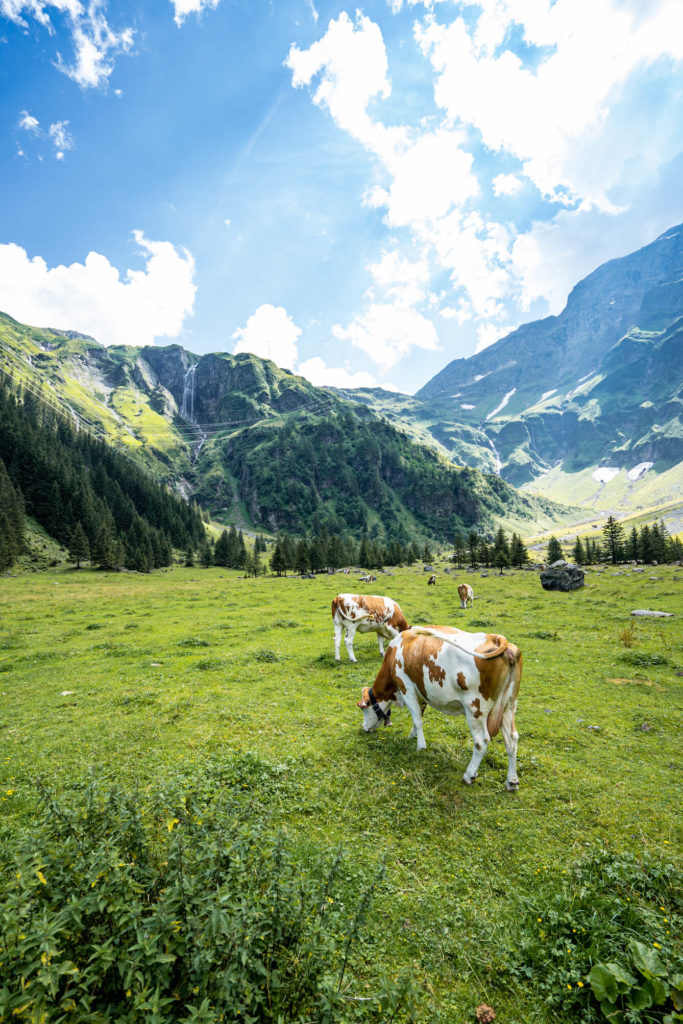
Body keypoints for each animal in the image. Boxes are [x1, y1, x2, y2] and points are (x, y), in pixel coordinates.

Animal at [358, 622, 524, 790]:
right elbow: (419, 714)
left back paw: (468, 775)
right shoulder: (421, 690)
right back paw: (512, 781)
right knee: (511, 740)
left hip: (475, 709)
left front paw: (420, 746)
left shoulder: (406, 687)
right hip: (509, 705)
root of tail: (496, 639)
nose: (364, 728)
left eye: (363, 708)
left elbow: (417, 719)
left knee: (481, 741)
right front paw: (413, 735)